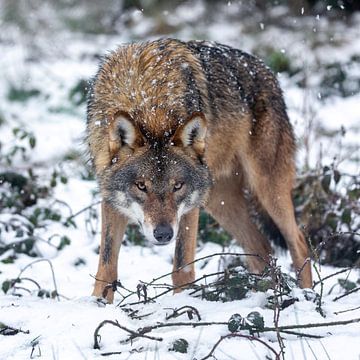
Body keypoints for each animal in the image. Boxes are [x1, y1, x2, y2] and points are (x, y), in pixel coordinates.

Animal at [87, 38, 312, 302]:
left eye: (177, 186)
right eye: (141, 186)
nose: (163, 234)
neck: (145, 98)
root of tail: (266, 70)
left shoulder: (190, 205)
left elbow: (181, 268)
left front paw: (182, 304)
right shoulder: (111, 197)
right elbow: (106, 267)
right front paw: (99, 303)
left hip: (266, 188)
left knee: (299, 244)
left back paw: (307, 296)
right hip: (219, 201)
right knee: (262, 248)